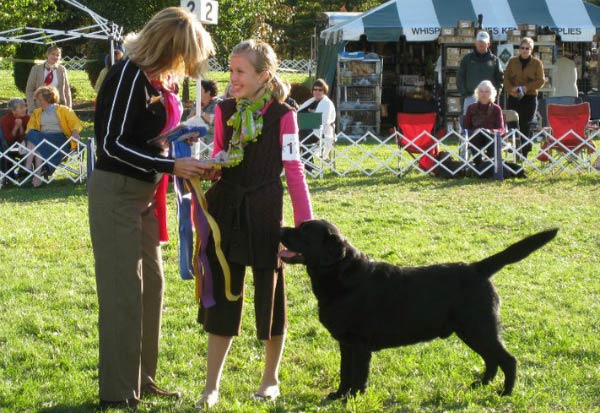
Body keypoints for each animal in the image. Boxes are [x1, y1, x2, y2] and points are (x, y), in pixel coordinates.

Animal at [282, 220, 556, 398]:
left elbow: (358, 375)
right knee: (491, 359)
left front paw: (353, 398)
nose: (281, 228)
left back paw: (505, 393)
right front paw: (339, 395)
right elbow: (344, 372)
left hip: (479, 328)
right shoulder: (345, 343)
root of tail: (477, 268)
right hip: (471, 331)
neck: (343, 274)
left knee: (507, 360)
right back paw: (480, 385)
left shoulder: (359, 344)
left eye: (304, 231)